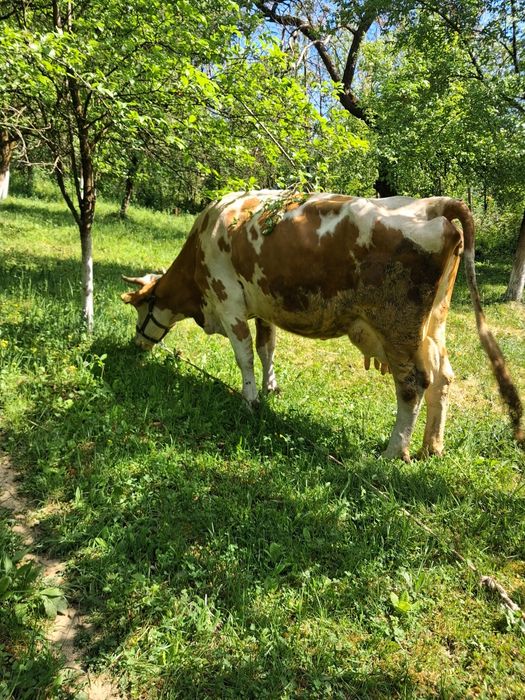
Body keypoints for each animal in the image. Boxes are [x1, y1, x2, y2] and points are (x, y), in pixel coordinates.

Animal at [121, 190, 523, 461]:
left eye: (141, 308)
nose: (135, 345)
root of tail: (431, 203)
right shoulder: (263, 304)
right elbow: (267, 347)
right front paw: (271, 389)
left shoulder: (228, 300)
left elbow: (245, 355)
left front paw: (250, 401)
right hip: (433, 325)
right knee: (443, 377)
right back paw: (432, 447)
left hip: (398, 326)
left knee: (414, 383)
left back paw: (395, 451)